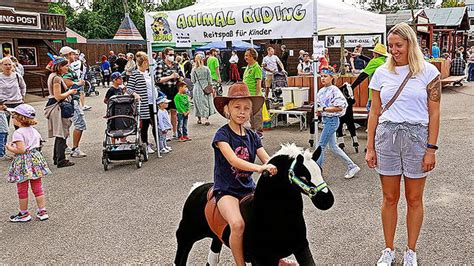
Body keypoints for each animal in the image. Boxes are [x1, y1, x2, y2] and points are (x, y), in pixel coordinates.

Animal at [174, 144, 334, 264]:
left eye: (320, 170)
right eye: (303, 176)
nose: (327, 200)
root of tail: (197, 188)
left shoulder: (301, 247)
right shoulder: (261, 258)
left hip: (215, 236)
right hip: (186, 234)